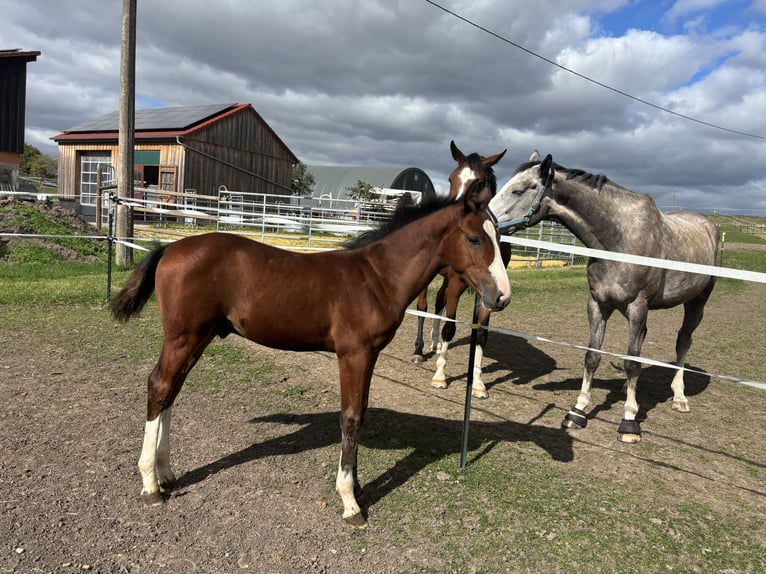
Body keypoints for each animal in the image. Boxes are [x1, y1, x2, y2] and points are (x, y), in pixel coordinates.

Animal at [109, 185, 511, 529]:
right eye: (474, 238)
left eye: (500, 240)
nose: (502, 297)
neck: (376, 277)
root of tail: (169, 250)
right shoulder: (353, 354)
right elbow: (351, 417)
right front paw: (350, 503)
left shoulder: (369, 355)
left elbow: (360, 413)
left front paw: (357, 486)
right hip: (184, 337)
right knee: (160, 386)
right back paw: (150, 485)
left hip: (197, 338)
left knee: (170, 391)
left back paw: (166, 473)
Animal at [412, 140, 510, 399]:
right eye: (450, 178)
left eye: (480, 182)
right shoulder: (457, 283)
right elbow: (450, 327)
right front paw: (440, 376)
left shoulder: (489, 293)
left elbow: (482, 334)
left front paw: (478, 383)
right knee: (423, 307)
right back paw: (419, 351)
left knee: (438, 301)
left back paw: (435, 345)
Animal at [488, 151, 719, 443]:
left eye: (517, 190)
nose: (484, 221)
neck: (618, 240)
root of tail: (708, 225)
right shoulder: (598, 305)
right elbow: (593, 357)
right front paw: (577, 412)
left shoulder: (637, 307)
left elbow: (631, 362)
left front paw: (629, 421)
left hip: (697, 302)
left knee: (683, 342)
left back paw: (679, 396)